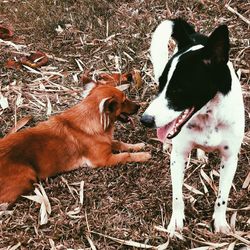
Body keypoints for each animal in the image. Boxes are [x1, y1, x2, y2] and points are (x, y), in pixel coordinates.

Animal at [0, 83, 150, 204]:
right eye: (124, 100)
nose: (139, 106)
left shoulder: (106, 143)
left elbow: (120, 144)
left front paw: (138, 146)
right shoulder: (103, 159)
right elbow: (126, 155)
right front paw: (144, 155)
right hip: (29, 176)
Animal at [141, 18, 246, 235]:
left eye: (178, 89)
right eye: (161, 84)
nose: (145, 120)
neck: (209, 116)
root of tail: (194, 35)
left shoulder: (230, 158)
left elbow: (222, 198)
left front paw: (220, 223)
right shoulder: (178, 156)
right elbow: (177, 196)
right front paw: (176, 223)